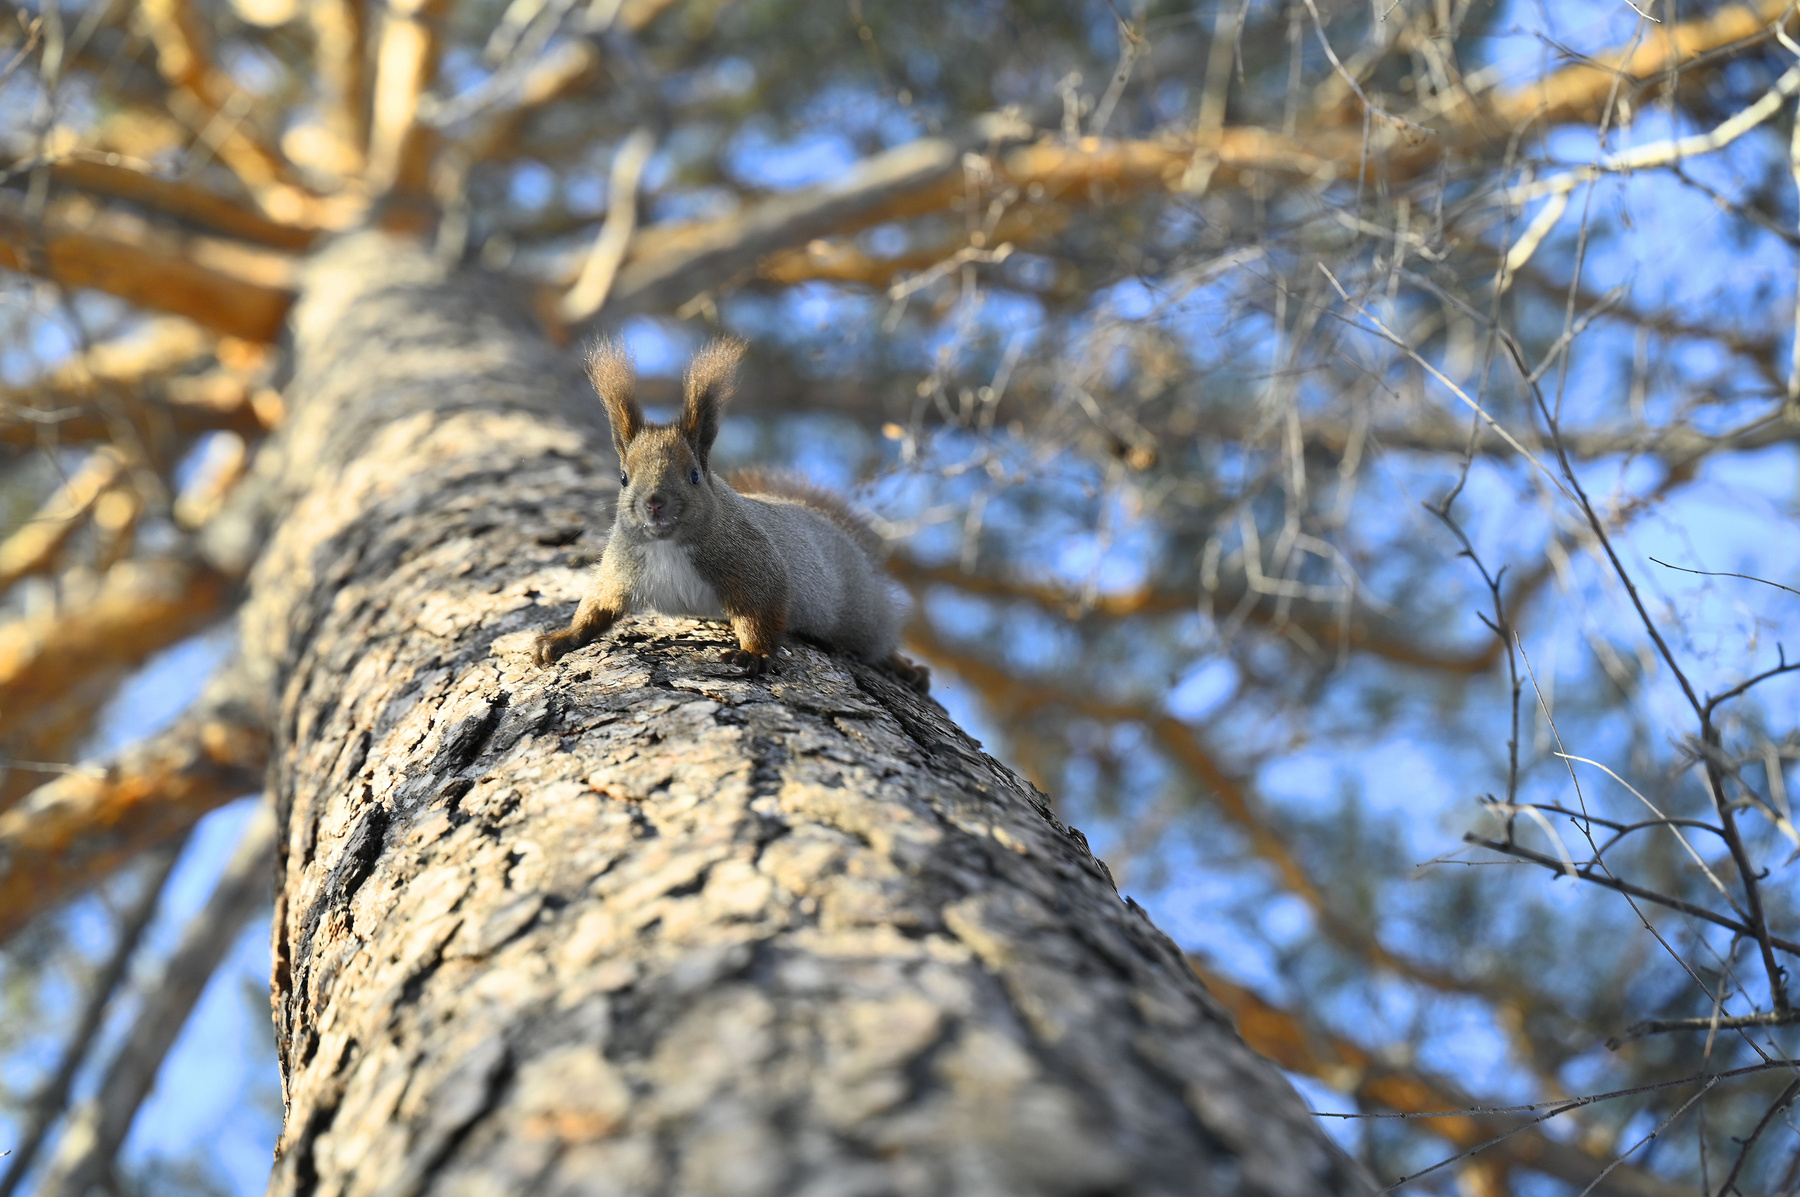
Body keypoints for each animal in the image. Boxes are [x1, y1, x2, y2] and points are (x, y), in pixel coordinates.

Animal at [532, 337, 929, 693]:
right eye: (623, 478)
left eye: (694, 475)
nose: (654, 502)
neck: (668, 544)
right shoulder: (620, 568)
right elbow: (596, 608)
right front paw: (560, 639)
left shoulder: (754, 565)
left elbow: (762, 613)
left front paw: (753, 655)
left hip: (860, 611)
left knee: (879, 640)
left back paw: (906, 668)